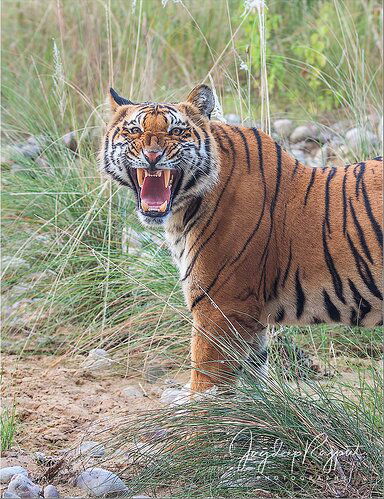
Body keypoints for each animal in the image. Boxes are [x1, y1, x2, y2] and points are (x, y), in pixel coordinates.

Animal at [102, 85, 384, 394]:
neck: (183, 212)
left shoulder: (218, 306)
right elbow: (251, 381)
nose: (152, 155)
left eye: (176, 131)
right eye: (134, 131)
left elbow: (206, 383)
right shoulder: (250, 316)